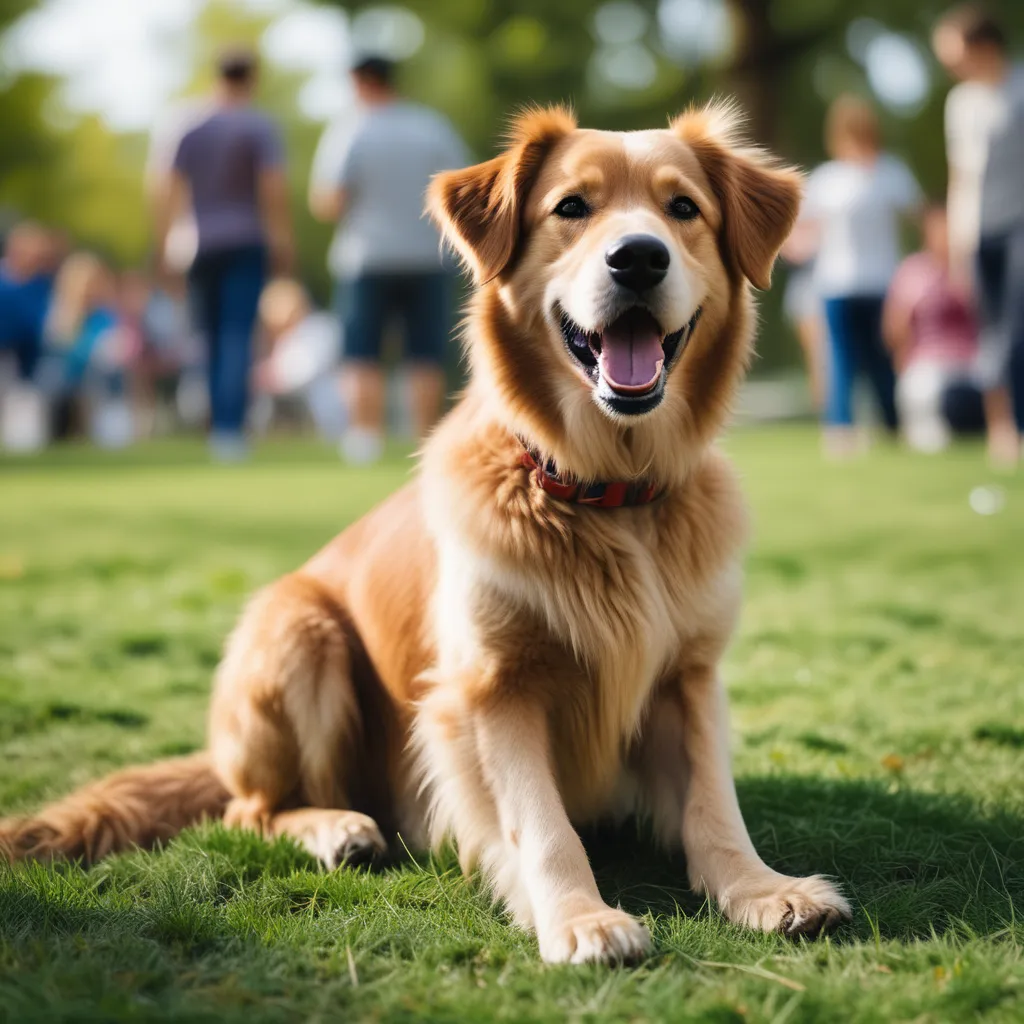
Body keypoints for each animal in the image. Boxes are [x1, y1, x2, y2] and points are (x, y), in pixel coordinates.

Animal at [2, 101, 847, 958]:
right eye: (572, 207)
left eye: (683, 209)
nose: (638, 258)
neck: (607, 491)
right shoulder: (489, 690)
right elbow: (543, 828)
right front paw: (580, 919)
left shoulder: (688, 677)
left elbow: (714, 807)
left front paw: (762, 889)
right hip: (300, 628)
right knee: (251, 808)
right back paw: (335, 827)